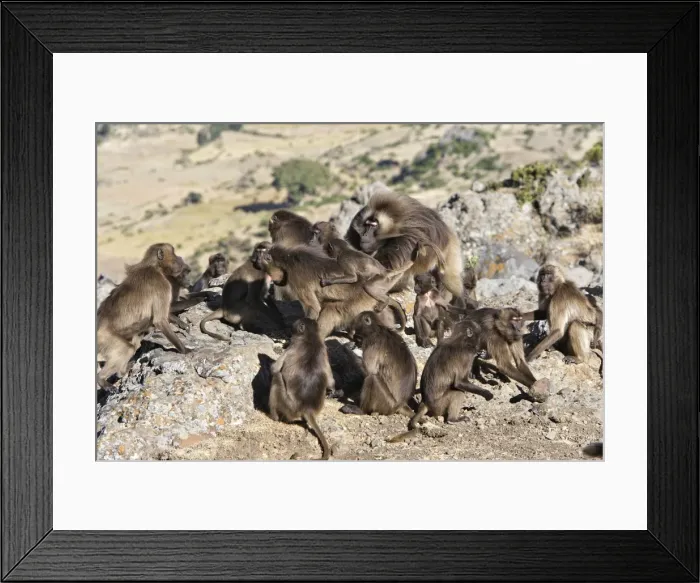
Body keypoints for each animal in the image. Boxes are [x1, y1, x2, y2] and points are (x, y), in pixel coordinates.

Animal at [97, 243, 191, 391]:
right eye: (175, 254)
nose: (180, 259)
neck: (154, 266)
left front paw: (182, 324)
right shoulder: (162, 284)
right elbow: (159, 320)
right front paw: (184, 350)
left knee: (134, 343)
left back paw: (122, 372)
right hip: (106, 338)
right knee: (126, 349)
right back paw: (101, 379)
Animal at [253, 243, 408, 339]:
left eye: (269, 272)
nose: (274, 281)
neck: (287, 260)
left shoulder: (297, 278)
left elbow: (314, 308)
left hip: (360, 300)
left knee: (330, 310)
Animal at [268, 317, 334, 460]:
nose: (289, 330)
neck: (311, 336)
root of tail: (307, 408)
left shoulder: (292, 346)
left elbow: (274, 369)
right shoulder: (324, 348)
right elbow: (331, 380)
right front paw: (332, 390)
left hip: (288, 405)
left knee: (277, 377)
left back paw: (274, 417)